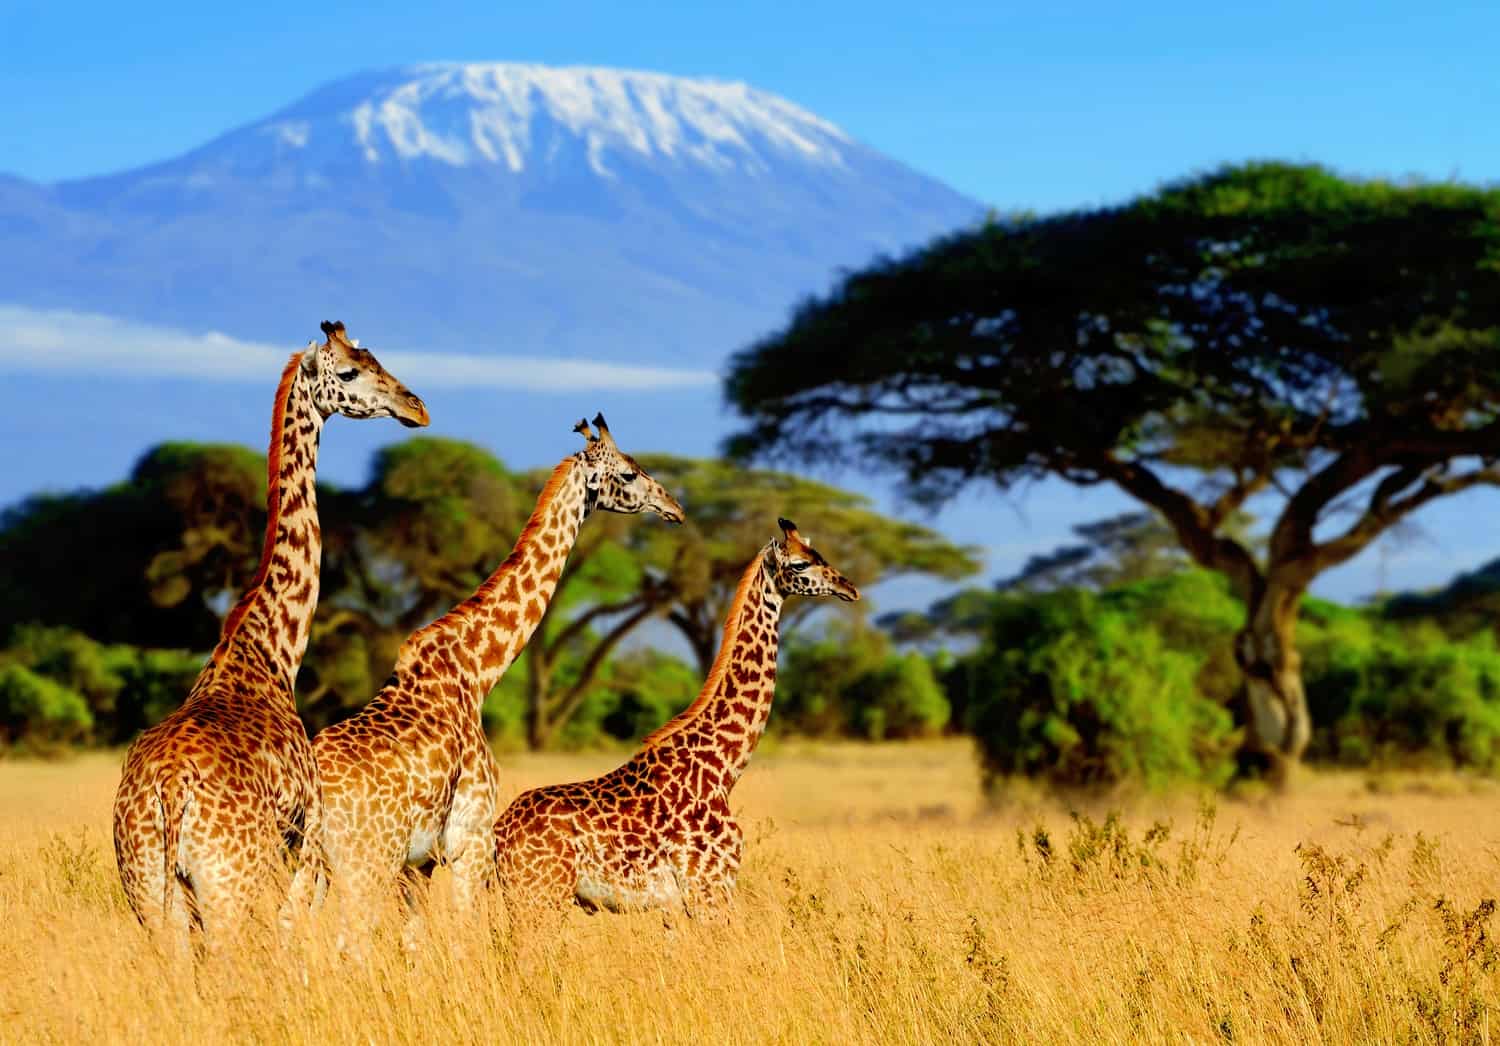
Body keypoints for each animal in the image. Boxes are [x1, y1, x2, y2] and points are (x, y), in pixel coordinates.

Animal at [109, 319, 429, 948]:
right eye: (350, 370)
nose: (417, 407)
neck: (271, 649)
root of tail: (169, 790)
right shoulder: (306, 837)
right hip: (228, 885)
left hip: (149, 891)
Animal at [289, 411, 687, 924]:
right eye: (629, 473)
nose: (674, 507)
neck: (477, 671)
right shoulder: (470, 842)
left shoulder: (420, 863)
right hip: (366, 861)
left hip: (312, 865)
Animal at [498, 519, 864, 918]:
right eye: (799, 564)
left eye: (819, 555)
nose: (849, 588)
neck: (723, 768)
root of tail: (497, 835)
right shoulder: (710, 889)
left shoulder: (679, 906)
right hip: (539, 895)